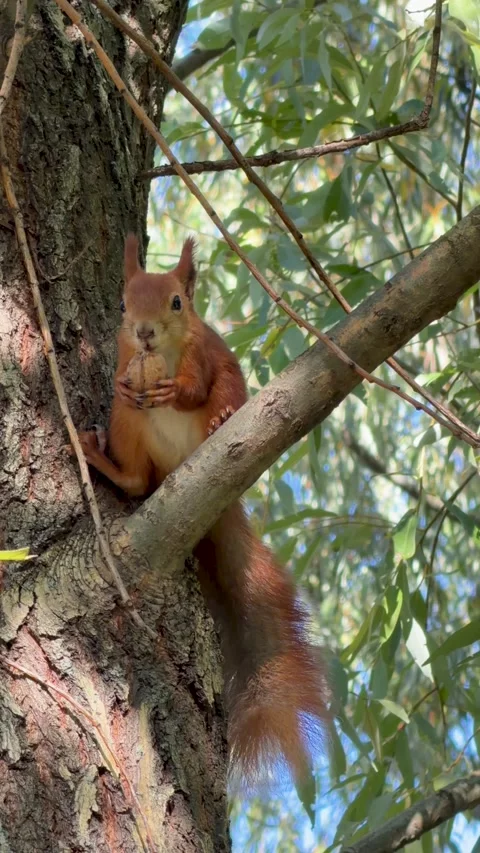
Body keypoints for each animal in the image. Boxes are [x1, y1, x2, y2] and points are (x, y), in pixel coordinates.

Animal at [79, 234, 329, 788]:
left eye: (177, 302)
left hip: (224, 402)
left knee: (220, 402)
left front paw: (180, 392)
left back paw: (219, 422)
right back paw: (104, 461)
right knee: (136, 477)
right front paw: (127, 380)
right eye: (123, 304)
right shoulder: (124, 359)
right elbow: (121, 377)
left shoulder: (205, 353)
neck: (165, 353)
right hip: (129, 428)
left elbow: (198, 383)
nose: (145, 332)